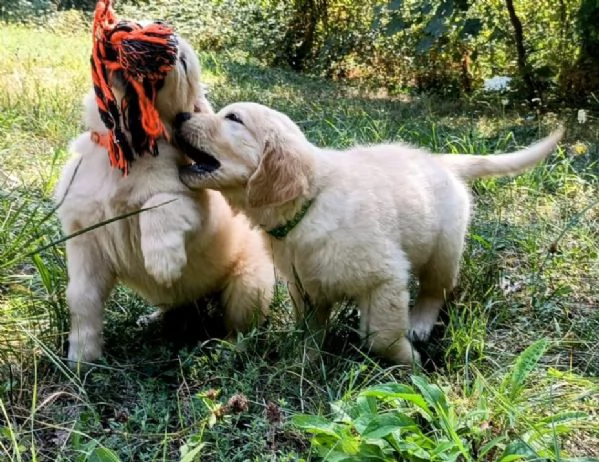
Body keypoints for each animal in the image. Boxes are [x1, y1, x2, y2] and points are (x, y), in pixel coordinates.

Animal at [54, 0, 274, 368]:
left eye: (181, 61)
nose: (129, 32)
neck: (125, 150)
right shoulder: (84, 239)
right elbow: (81, 298)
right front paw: (82, 357)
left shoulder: (191, 199)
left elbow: (158, 204)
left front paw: (162, 262)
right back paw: (153, 318)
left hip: (249, 284)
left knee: (240, 325)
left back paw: (229, 349)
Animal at [172, 103, 564, 366]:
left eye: (233, 119)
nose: (179, 117)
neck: (309, 204)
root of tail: (440, 160)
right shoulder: (304, 286)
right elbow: (309, 328)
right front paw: (305, 358)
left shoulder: (384, 278)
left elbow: (381, 336)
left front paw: (409, 361)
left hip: (444, 248)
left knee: (435, 289)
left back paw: (420, 323)